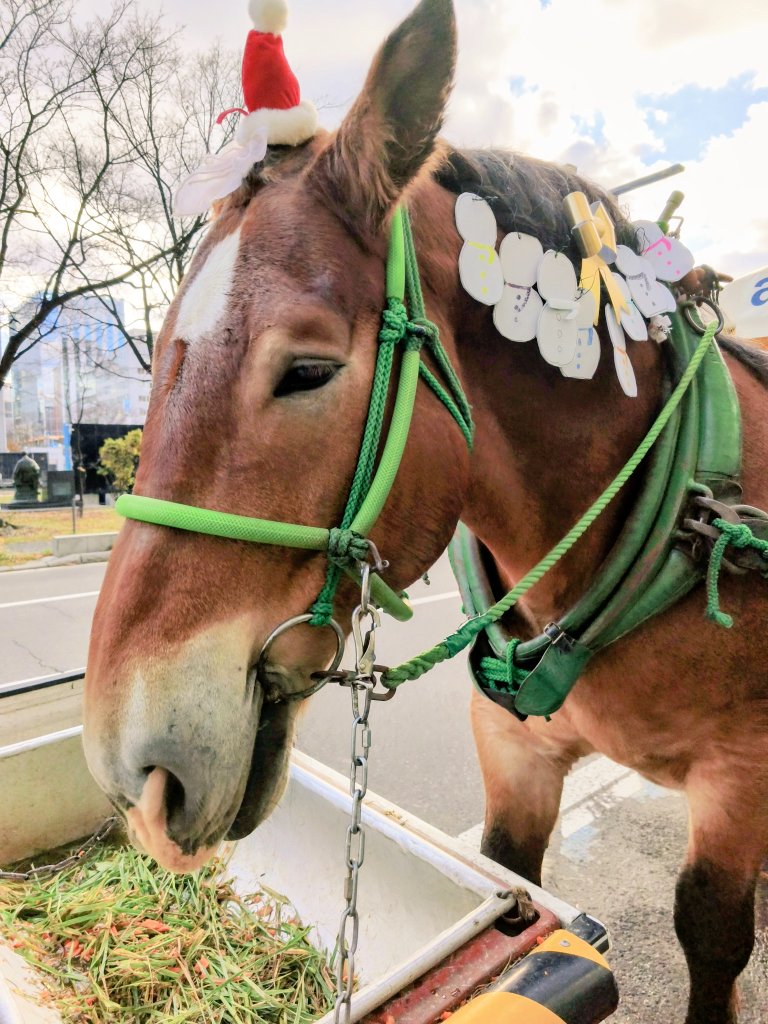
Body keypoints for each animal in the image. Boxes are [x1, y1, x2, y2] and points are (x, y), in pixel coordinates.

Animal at [82, 1, 768, 1021]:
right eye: (161, 350)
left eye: (307, 371)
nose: (127, 767)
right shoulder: (515, 756)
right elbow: (512, 869)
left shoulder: (738, 778)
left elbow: (714, 934)